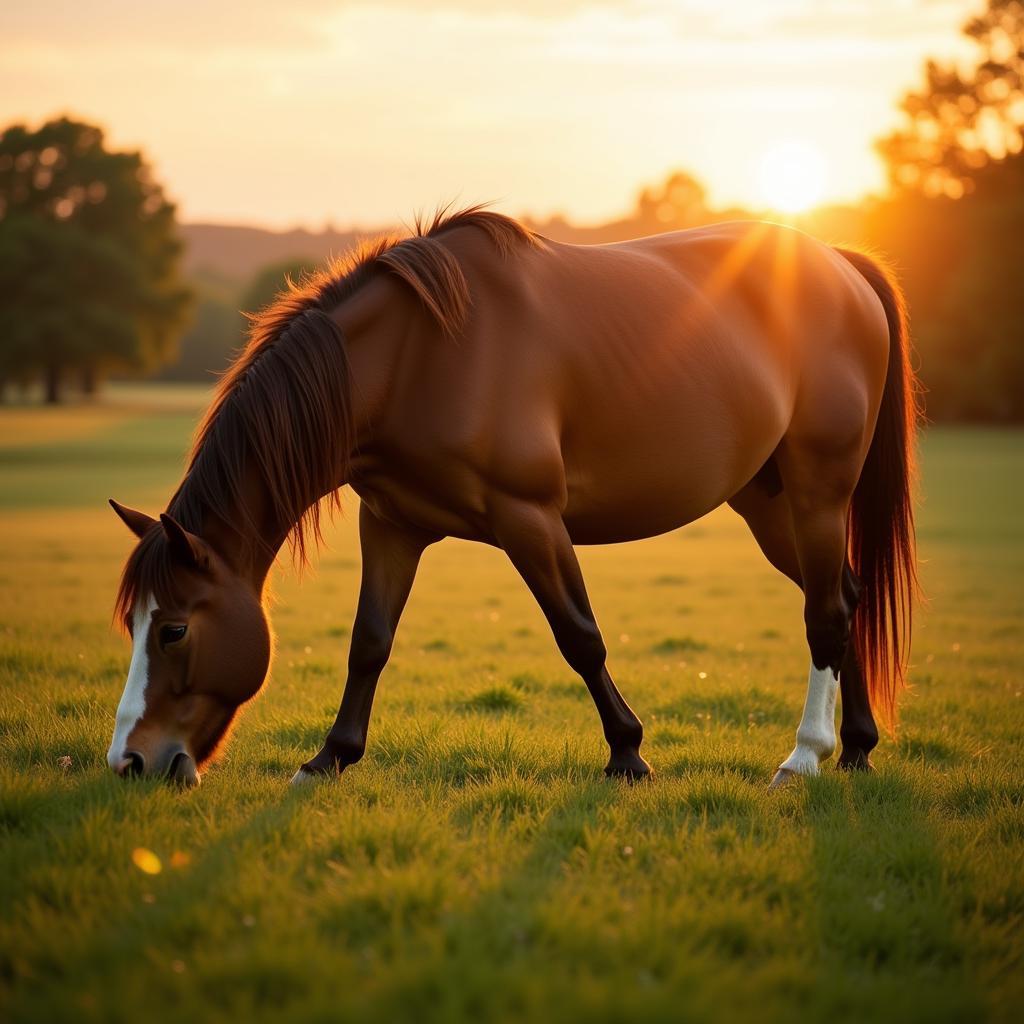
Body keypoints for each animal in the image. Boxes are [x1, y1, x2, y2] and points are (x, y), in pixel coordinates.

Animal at [105, 203, 921, 786]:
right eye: (134, 624)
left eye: (173, 629)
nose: (131, 762)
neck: (417, 357)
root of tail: (840, 266)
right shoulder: (391, 524)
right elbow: (370, 642)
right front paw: (330, 756)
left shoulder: (529, 519)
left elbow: (580, 636)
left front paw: (628, 755)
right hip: (768, 503)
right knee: (847, 597)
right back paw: (857, 748)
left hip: (816, 494)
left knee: (825, 612)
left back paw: (805, 755)